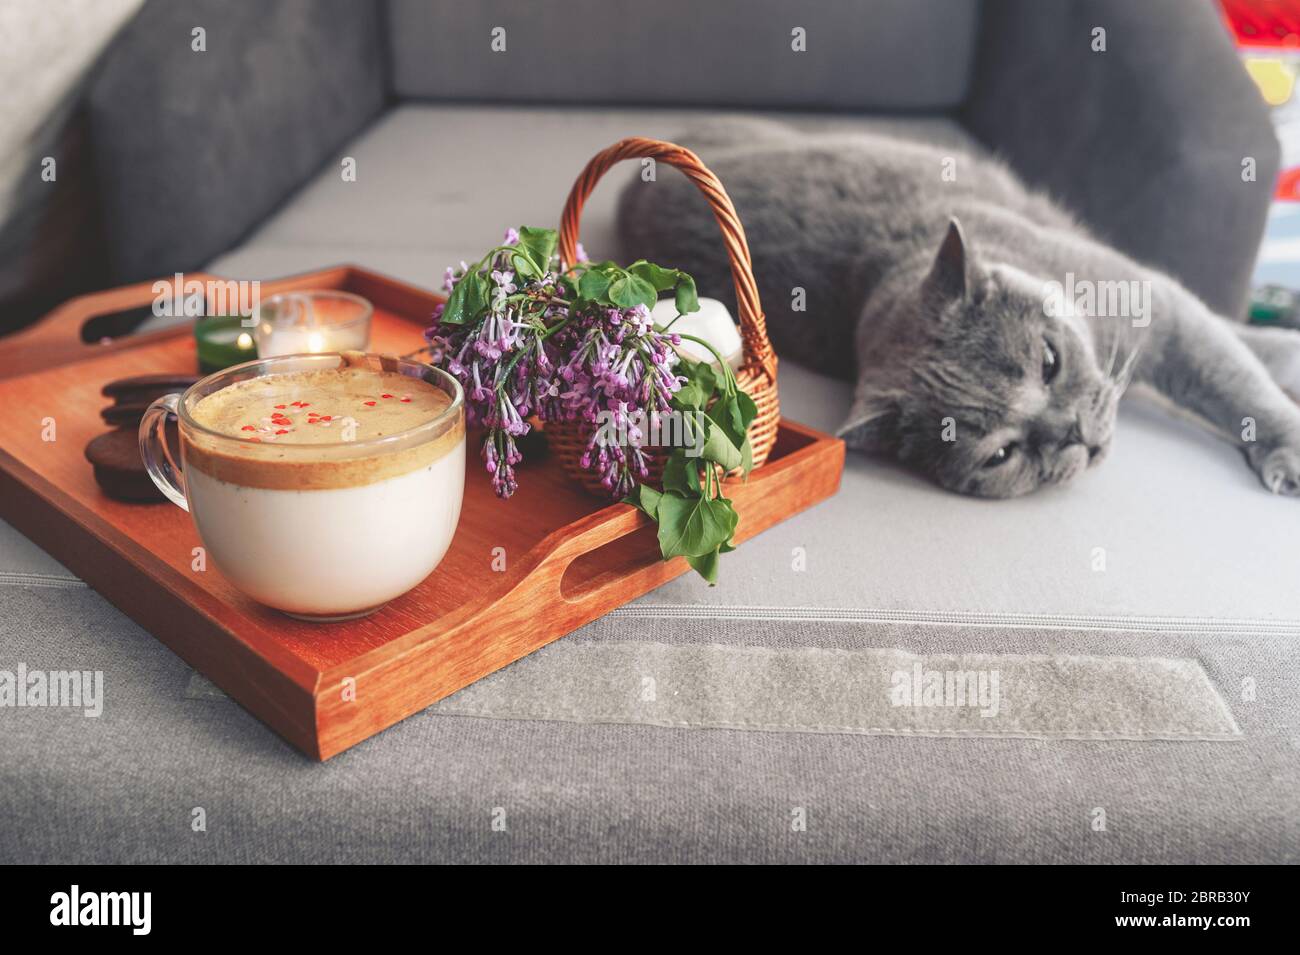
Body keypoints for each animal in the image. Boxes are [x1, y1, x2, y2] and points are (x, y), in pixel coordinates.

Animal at [616, 119, 1300, 501]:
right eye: (1001, 456)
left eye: (1049, 362)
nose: (1072, 435)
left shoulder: (1157, 304)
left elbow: (1232, 373)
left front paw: (1286, 436)